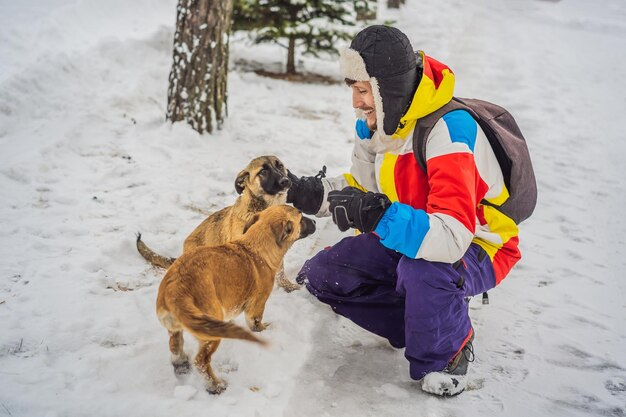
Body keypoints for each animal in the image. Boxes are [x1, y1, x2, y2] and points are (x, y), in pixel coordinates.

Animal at [154, 205, 314, 394]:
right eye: (301, 218)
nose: (315, 221)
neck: (255, 247)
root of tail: (176, 289)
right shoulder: (256, 306)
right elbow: (256, 324)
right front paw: (264, 330)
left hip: (176, 327)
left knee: (175, 346)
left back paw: (181, 363)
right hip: (210, 331)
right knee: (201, 361)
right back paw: (215, 386)